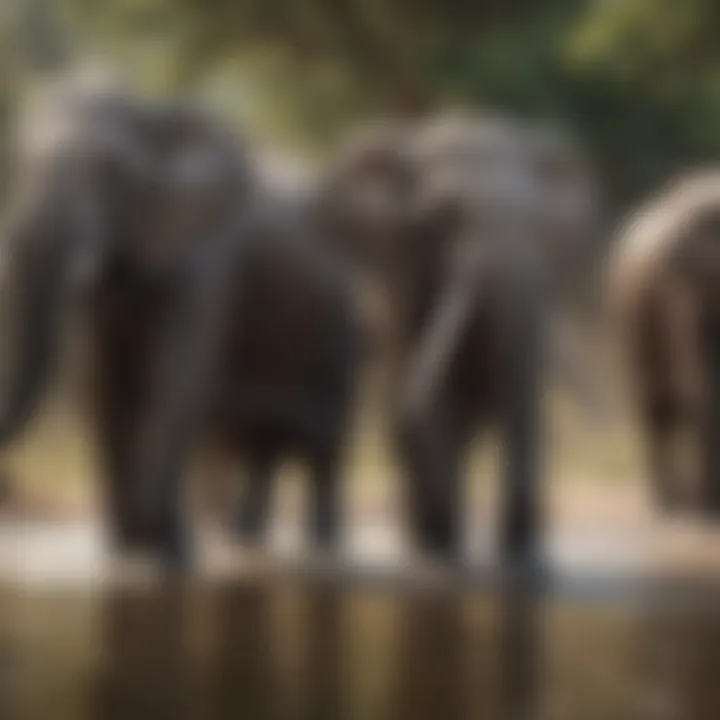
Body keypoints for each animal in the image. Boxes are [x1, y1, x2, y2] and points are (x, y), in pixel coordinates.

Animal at [318, 112, 600, 572]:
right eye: (446, 216)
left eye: (541, 225)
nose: (524, 549)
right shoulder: (402, 278)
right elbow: (431, 402)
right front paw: (444, 548)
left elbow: (517, 395)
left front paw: (518, 558)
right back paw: (426, 541)